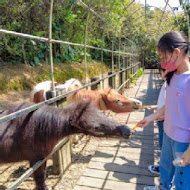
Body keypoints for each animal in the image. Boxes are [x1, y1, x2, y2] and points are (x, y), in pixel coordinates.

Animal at [0, 100, 131, 189]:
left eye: (101, 113)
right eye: (95, 127)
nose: (126, 131)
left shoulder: (42, 159)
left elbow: (43, 176)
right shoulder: (34, 160)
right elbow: (39, 178)